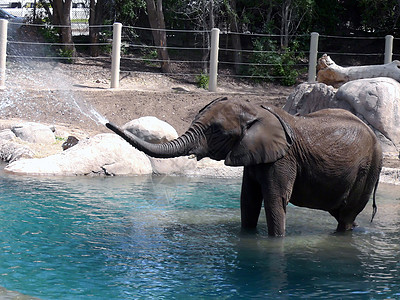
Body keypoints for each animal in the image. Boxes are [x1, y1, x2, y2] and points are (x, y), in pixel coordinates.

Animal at [105, 97, 382, 236]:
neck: (257, 112)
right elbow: (248, 200)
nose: (106, 122)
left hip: (369, 168)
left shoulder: (282, 159)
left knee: (346, 215)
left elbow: (274, 200)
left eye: (216, 131)